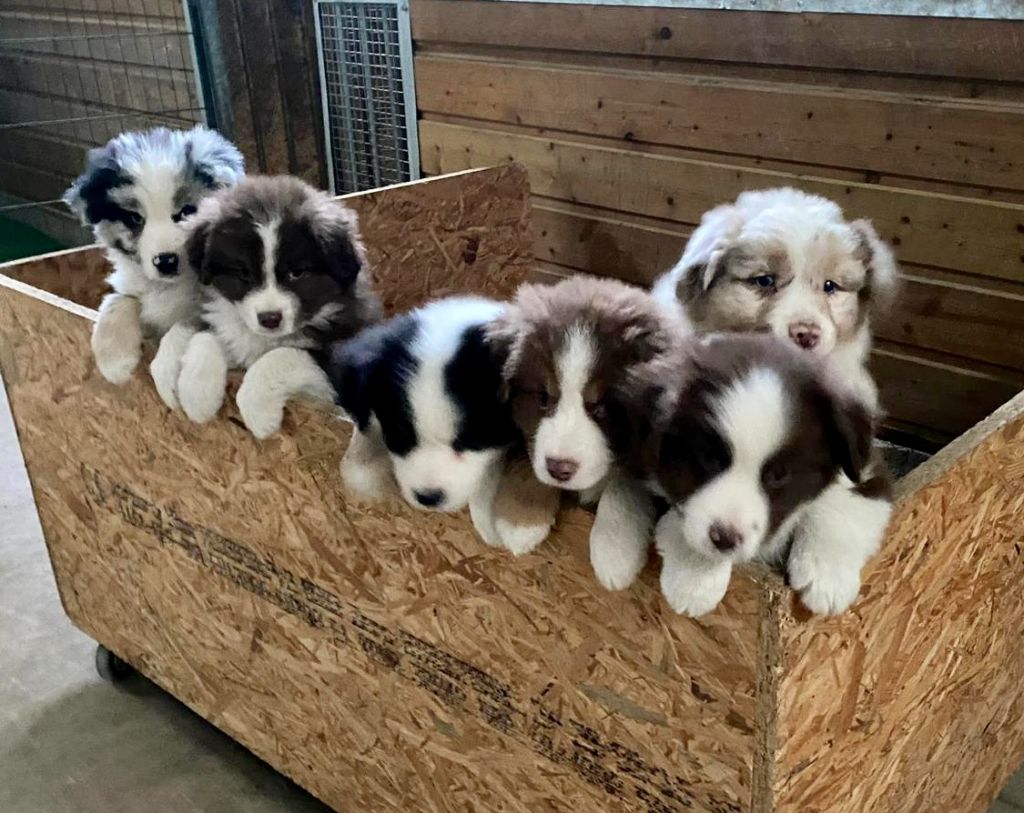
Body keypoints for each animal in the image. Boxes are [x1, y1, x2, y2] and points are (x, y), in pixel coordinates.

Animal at [65, 124, 245, 382]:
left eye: (187, 211)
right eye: (135, 218)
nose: (166, 261)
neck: (167, 287)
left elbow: (185, 323)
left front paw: (168, 369)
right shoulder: (132, 287)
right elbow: (117, 301)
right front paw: (115, 363)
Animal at [487, 276, 688, 585]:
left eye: (603, 408)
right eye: (543, 398)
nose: (560, 469)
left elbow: (623, 486)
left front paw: (615, 554)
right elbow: (528, 460)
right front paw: (521, 522)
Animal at [643, 331, 892, 618]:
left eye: (779, 474)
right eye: (708, 459)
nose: (725, 539)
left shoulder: (865, 469)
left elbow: (839, 501)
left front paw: (826, 578)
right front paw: (693, 578)